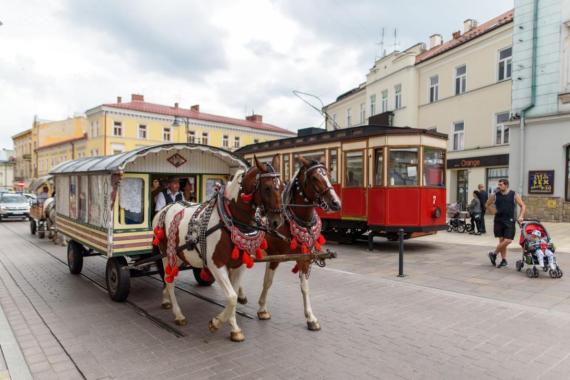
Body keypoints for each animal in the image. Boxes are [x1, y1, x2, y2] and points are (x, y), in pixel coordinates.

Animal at [152, 154, 282, 342]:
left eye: (283, 186)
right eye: (267, 187)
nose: (277, 221)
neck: (229, 219)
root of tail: (164, 209)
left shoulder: (239, 265)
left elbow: (232, 296)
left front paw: (234, 329)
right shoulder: (216, 265)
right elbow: (232, 297)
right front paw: (216, 323)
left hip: (179, 256)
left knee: (167, 279)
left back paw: (165, 300)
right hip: (167, 255)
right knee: (169, 281)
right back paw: (178, 314)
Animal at [237, 156, 340, 332]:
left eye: (327, 174)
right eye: (314, 177)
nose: (336, 203)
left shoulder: (304, 257)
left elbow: (304, 287)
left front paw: (311, 318)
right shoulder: (274, 256)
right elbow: (268, 282)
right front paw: (262, 309)